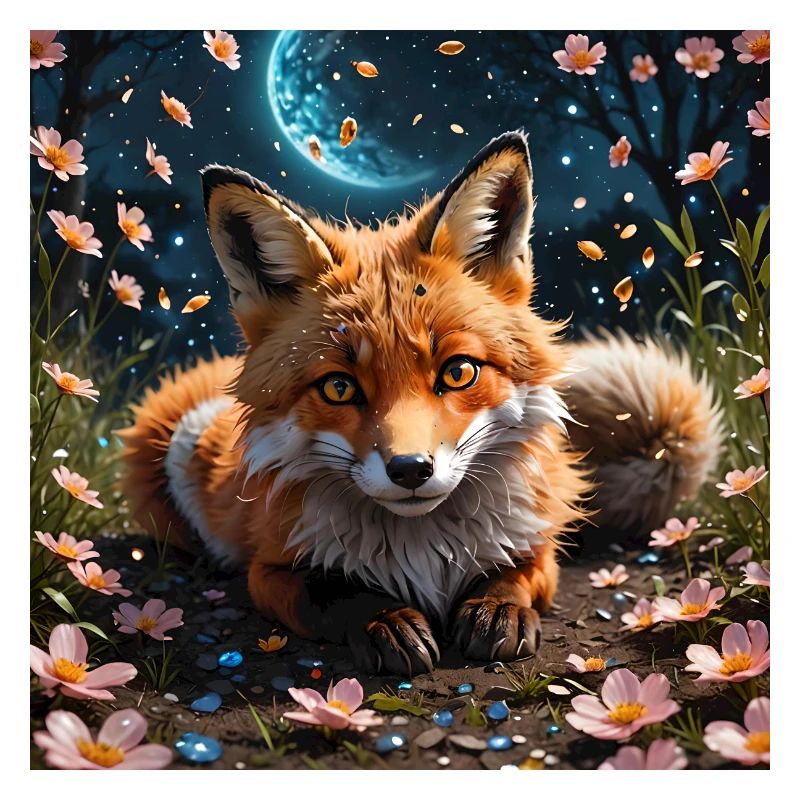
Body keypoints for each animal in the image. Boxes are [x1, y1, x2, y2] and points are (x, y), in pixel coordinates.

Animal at [119, 131, 721, 674]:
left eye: (458, 372)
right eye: (339, 387)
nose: (411, 469)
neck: (424, 547)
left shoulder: (536, 546)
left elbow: (514, 576)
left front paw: (494, 608)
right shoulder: (269, 570)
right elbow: (331, 592)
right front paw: (384, 620)